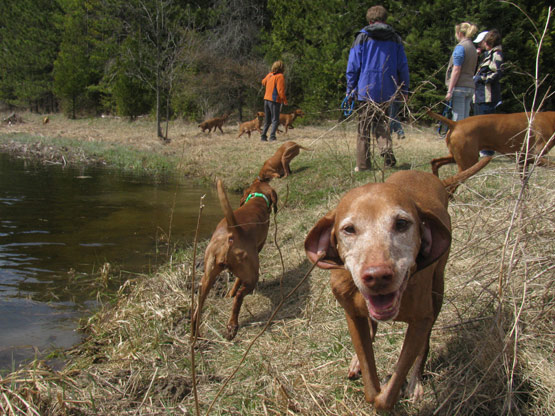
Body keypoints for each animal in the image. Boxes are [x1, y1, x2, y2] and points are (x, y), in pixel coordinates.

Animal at [191, 177, 278, 340]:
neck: (257, 199)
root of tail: (233, 230)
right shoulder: (259, 247)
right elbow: (237, 282)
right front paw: (232, 292)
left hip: (207, 278)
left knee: (198, 307)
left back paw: (195, 334)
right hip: (252, 276)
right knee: (239, 297)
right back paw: (232, 326)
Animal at [306, 168, 488, 410]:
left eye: (401, 223)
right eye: (349, 229)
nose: (377, 276)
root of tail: (430, 176)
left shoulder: (421, 320)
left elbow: (388, 391)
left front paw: (392, 389)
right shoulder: (352, 315)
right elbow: (369, 380)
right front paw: (365, 371)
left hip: (437, 291)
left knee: (424, 343)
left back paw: (416, 380)